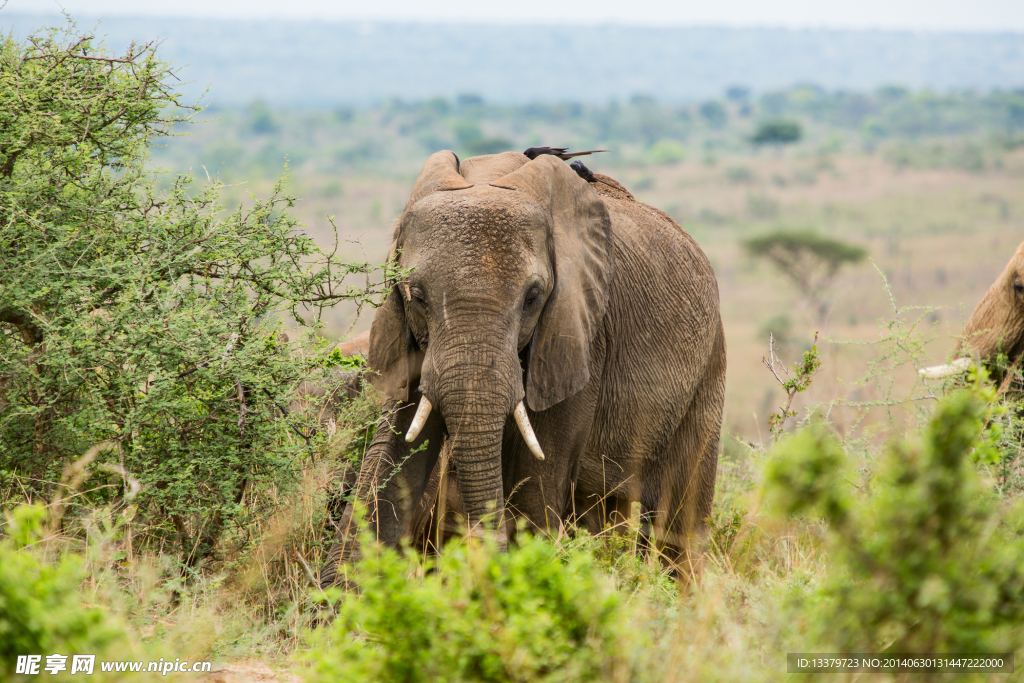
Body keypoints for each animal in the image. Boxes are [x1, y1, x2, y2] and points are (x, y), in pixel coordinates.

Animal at [319, 149, 729, 589]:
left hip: (709, 366)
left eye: (533, 297)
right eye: (417, 296)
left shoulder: (581, 336)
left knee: (679, 521)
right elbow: (390, 457)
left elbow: (535, 488)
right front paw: (332, 602)